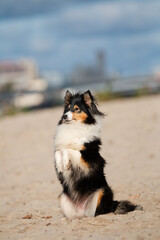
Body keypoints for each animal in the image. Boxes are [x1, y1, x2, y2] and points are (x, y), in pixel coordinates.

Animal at [53, 90, 141, 219]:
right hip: (62, 197)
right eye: (67, 109)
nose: (64, 116)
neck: (75, 127)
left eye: (77, 109)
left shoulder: (87, 160)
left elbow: (69, 150)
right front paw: (60, 165)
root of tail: (82, 211)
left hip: (102, 191)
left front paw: (65, 163)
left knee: (100, 211)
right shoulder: (60, 148)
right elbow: (58, 151)